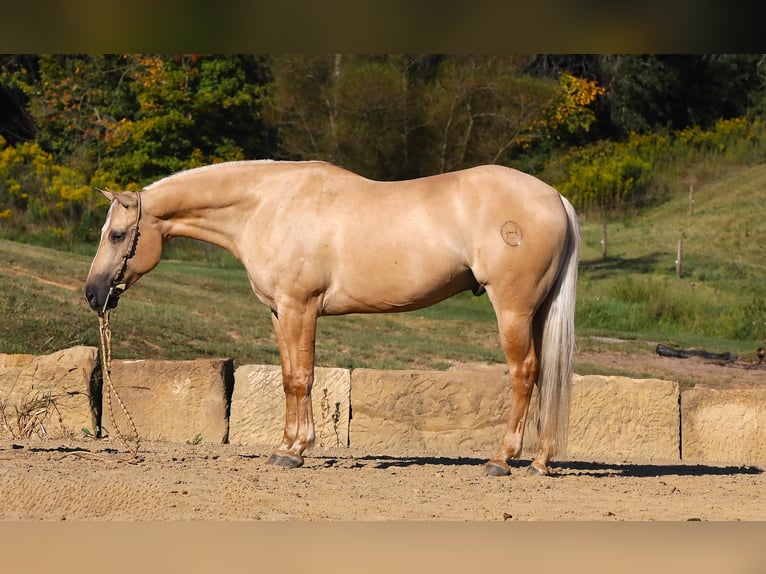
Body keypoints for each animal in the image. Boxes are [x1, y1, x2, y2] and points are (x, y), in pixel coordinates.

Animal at [84, 161, 580, 476]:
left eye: (118, 234)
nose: (93, 294)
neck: (268, 206)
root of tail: (555, 197)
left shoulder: (300, 307)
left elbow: (302, 377)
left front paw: (296, 451)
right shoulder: (279, 312)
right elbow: (289, 379)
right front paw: (287, 446)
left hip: (512, 309)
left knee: (524, 374)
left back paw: (501, 460)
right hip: (536, 312)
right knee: (545, 377)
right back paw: (540, 462)